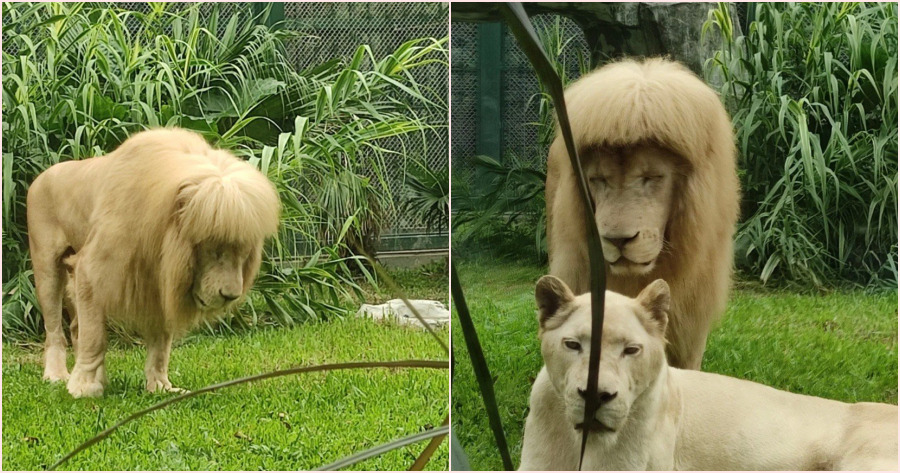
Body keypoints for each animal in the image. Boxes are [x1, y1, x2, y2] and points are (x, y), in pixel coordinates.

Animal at [27, 128, 280, 398]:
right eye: (215, 249)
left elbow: (161, 345)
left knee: (76, 327)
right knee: (55, 330)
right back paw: (57, 375)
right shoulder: (90, 270)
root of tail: (41, 176)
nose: (230, 296)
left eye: (243, 252)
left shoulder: (160, 283)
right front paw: (85, 388)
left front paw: (160, 387)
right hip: (47, 270)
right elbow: (94, 337)